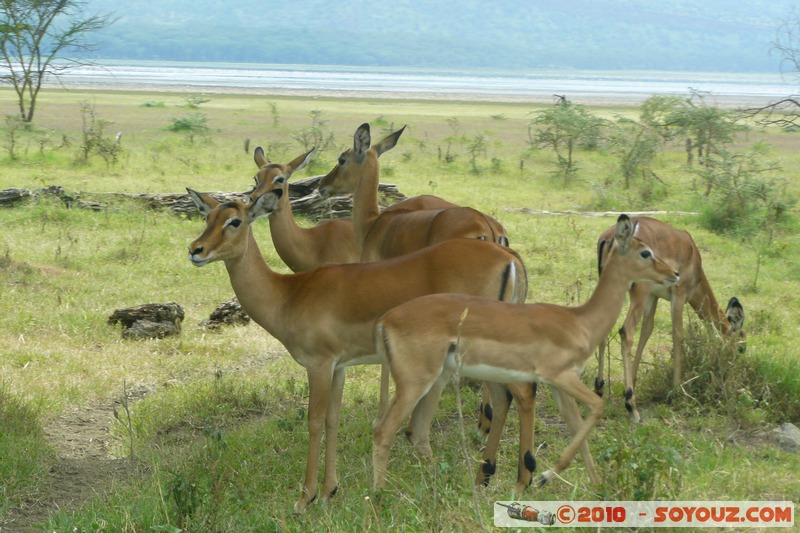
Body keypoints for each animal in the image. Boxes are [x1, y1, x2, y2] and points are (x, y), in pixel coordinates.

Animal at [184, 187, 528, 512]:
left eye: (235, 221)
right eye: (207, 217)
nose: (195, 250)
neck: (289, 295)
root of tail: (508, 256)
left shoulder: (319, 364)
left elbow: (314, 422)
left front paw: (305, 498)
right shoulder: (339, 367)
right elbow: (332, 420)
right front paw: (328, 492)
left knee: (516, 396)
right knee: (505, 399)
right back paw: (489, 477)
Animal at [372, 214, 680, 492]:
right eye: (645, 252)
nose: (674, 274)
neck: (579, 321)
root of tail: (386, 319)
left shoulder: (559, 387)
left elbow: (578, 429)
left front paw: (598, 486)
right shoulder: (560, 377)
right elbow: (597, 406)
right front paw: (543, 477)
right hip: (416, 383)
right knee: (383, 432)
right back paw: (378, 497)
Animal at [592, 215, 748, 420]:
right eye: (741, 347)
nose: (732, 372)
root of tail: (612, 238)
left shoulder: (653, 297)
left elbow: (647, 332)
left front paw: (633, 380)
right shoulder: (679, 296)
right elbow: (677, 334)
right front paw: (676, 389)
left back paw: (599, 388)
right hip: (637, 294)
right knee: (626, 331)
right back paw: (631, 405)